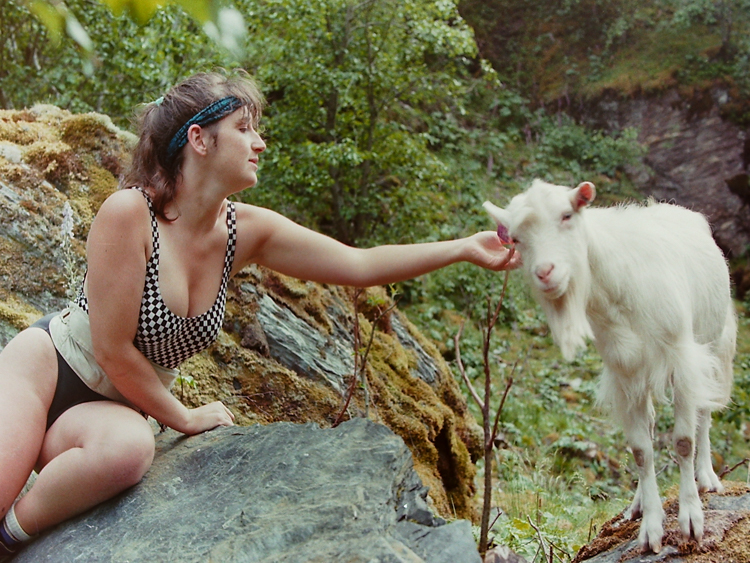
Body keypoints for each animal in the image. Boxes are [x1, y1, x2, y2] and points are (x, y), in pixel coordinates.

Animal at [484, 181, 736, 556]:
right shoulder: (624, 372)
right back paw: (638, 503)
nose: (545, 273)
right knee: (650, 428)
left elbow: (682, 441)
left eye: (567, 215)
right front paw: (650, 529)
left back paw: (706, 477)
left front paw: (691, 520)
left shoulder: (681, 359)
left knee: (704, 413)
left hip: (713, 344)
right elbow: (641, 451)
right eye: (515, 238)